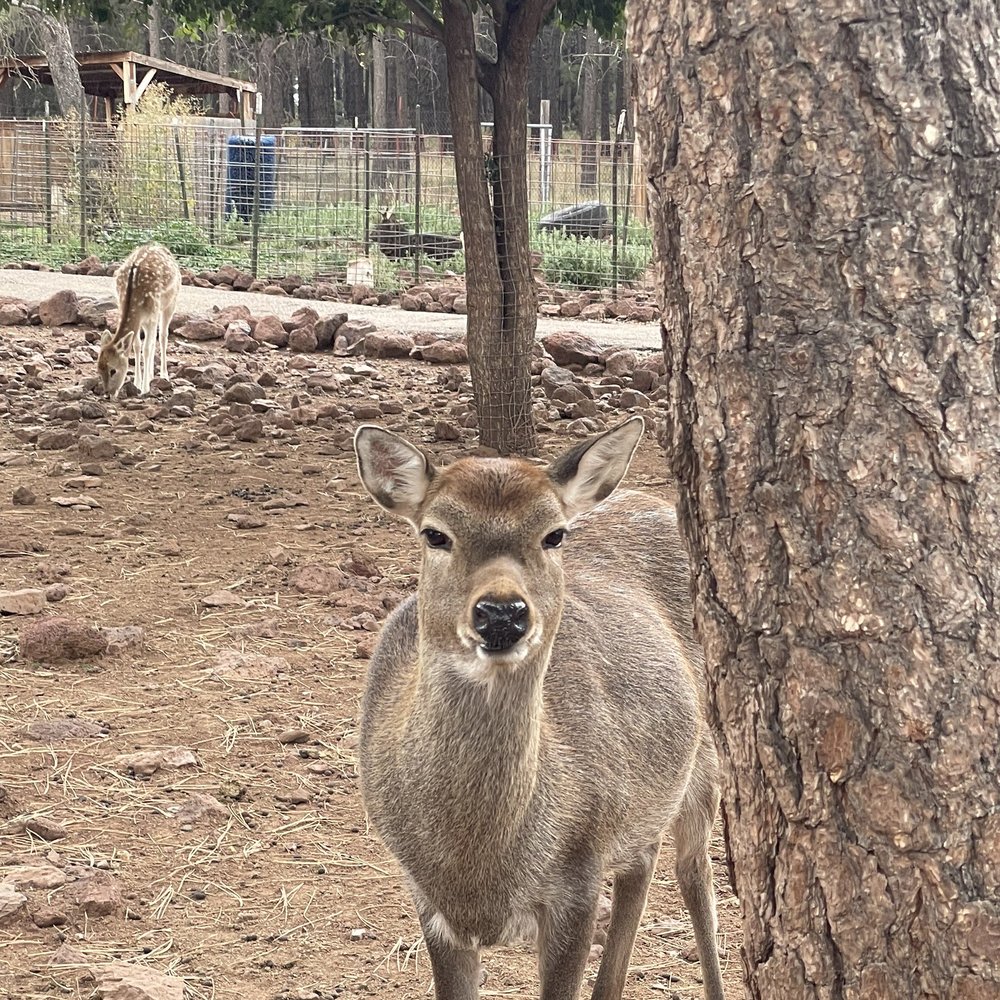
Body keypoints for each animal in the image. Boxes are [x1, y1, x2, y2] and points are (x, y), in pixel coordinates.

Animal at [98, 242, 181, 398]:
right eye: (98, 369)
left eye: (113, 370)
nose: (107, 394)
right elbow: (136, 346)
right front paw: (137, 382)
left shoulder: (152, 314)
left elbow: (147, 348)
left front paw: (145, 389)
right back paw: (151, 376)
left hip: (170, 303)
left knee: (163, 337)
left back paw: (164, 375)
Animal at [353, 416, 726, 1000]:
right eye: (435, 533)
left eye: (554, 534)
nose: (502, 613)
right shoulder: (426, 899)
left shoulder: (576, 879)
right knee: (642, 863)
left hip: (703, 760)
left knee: (695, 872)